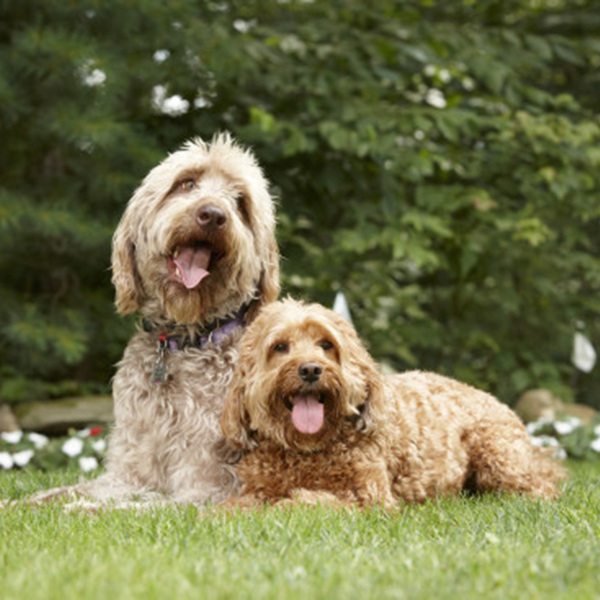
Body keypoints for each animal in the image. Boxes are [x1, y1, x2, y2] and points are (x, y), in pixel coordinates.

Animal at [221, 298, 568, 506]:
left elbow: (312, 502)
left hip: (499, 458)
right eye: (280, 346)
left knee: (540, 489)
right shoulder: (255, 487)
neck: (308, 449)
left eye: (326, 345)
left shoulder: (369, 497)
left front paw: (285, 506)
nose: (310, 369)